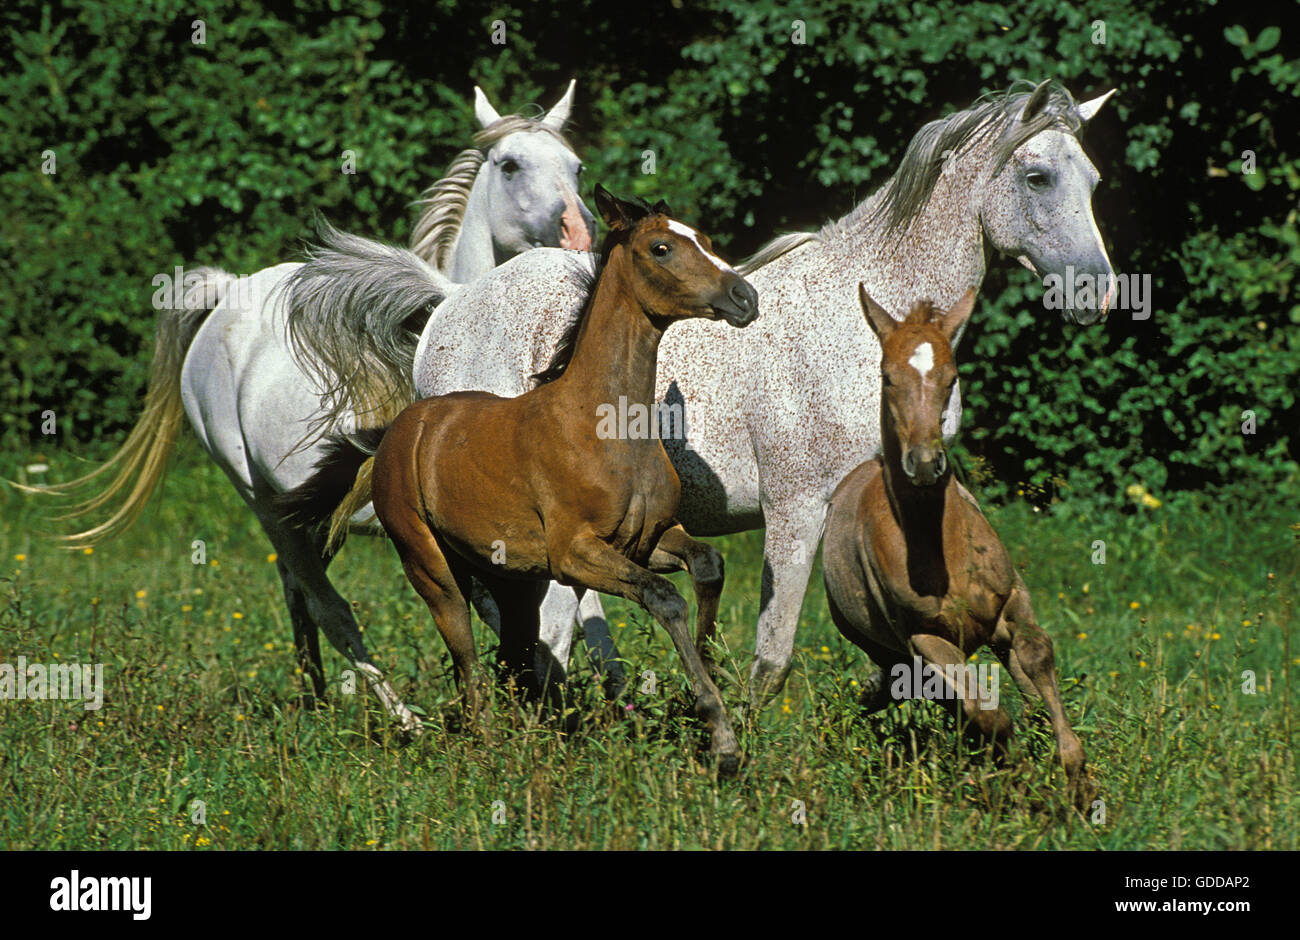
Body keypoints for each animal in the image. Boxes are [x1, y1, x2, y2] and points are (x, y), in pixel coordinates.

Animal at [31, 84, 595, 733]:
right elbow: (530, 617)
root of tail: (227, 292)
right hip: (264, 504)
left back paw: (318, 693)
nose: (579, 236)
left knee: (299, 596)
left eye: (577, 166)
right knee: (329, 605)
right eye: (510, 165)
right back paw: (402, 720)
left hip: (304, 517)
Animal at [292, 82, 1118, 707]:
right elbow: (771, 657)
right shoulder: (796, 509)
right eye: (1038, 176)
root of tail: (451, 306)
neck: (867, 324)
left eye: (1094, 180)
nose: (1099, 291)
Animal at [366, 187, 759, 774]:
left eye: (705, 239)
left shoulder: (647, 540)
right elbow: (664, 597)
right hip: (432, 569)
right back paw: (493, 750)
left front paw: (707, 701)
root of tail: (403, 430)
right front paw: (722, 736)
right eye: (661, 247)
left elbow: (708, 566)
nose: (744, 297)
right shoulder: (575, 553)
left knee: (509, 654)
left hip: (510, 578)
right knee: (468, 662)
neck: (607, 427)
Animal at [821, 284, 1086, 811]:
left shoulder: (1011, 602)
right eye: (887, 376)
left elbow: (1037, 655)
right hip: (888, 649)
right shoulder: (925, 639)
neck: (944, 552)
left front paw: (1077, 780)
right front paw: (1015, 782)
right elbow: (987, 714)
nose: (925, 463)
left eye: (952, 376)